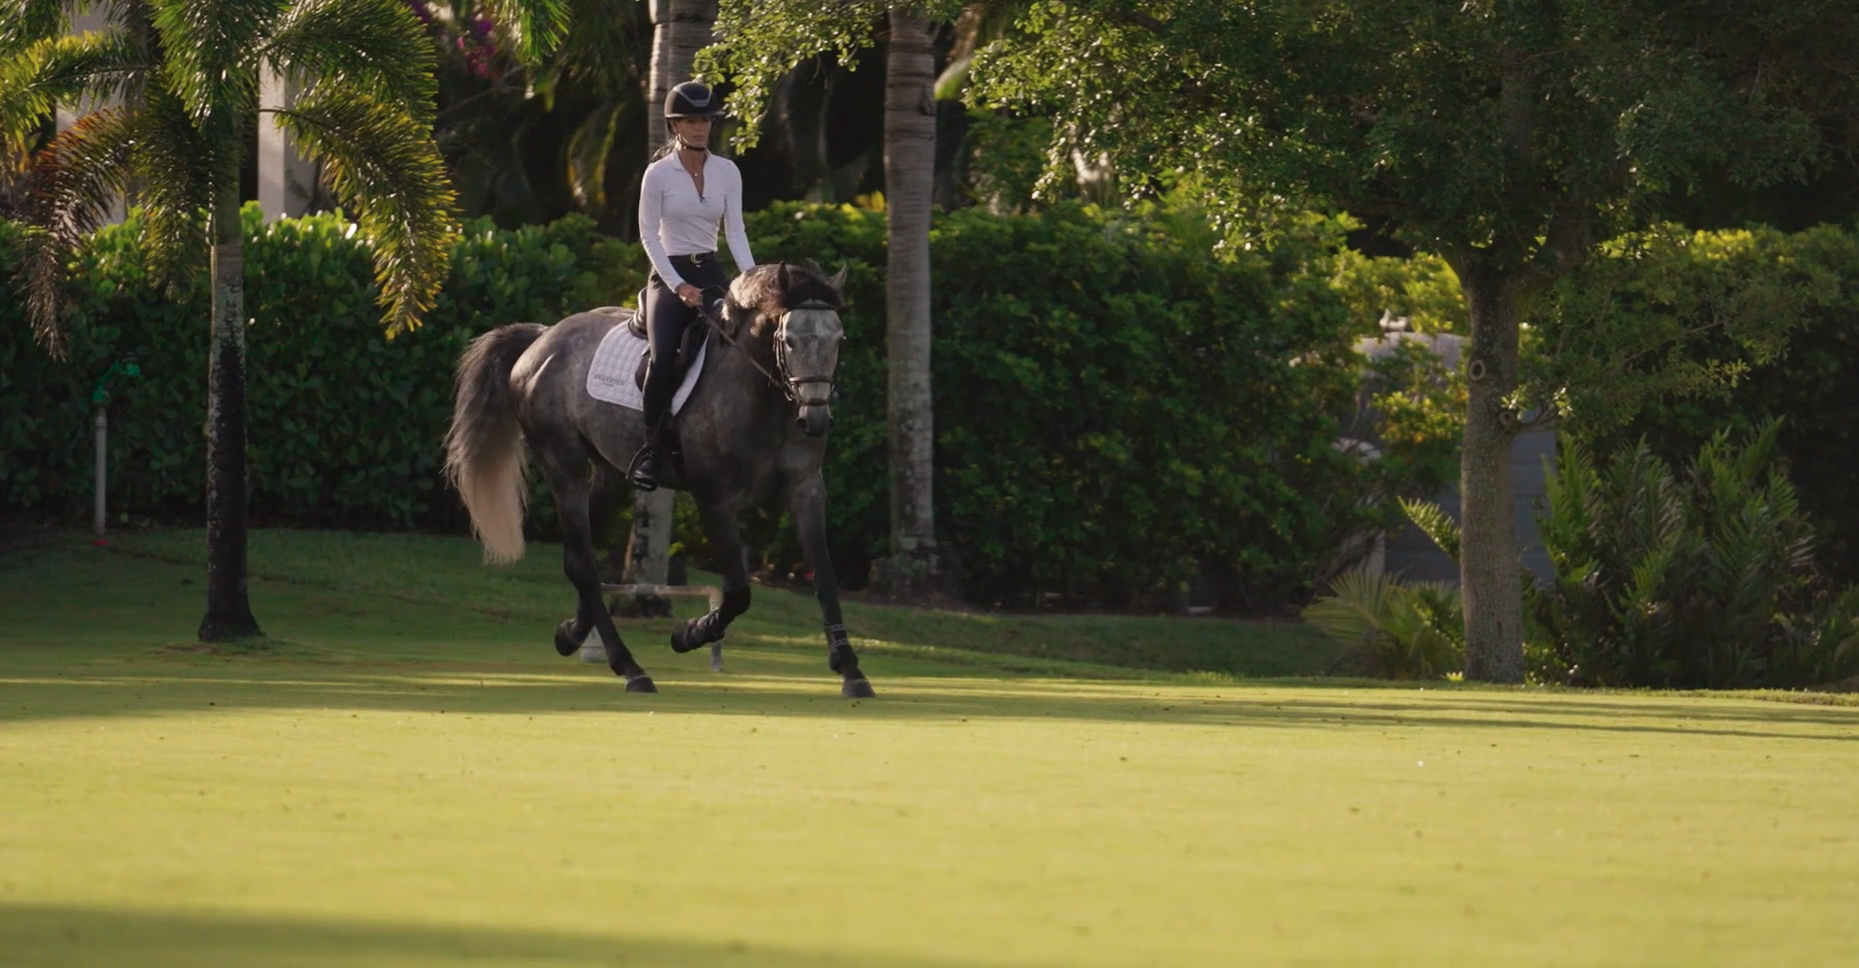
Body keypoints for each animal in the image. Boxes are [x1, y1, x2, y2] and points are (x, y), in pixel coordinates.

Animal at [442, 261, 875, 698]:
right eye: (788, 341)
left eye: (839, 338)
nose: (815, 419)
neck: (757, 389)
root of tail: (542, 338)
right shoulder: (714, 498)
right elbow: (738, 591)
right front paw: (690, 634)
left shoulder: (806, 489)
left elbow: (824, 574)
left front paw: (850, 669)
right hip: (564, 467)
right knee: (583, 564)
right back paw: (629, 668)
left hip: (608, 476)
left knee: (581, 561)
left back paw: (572, 634)